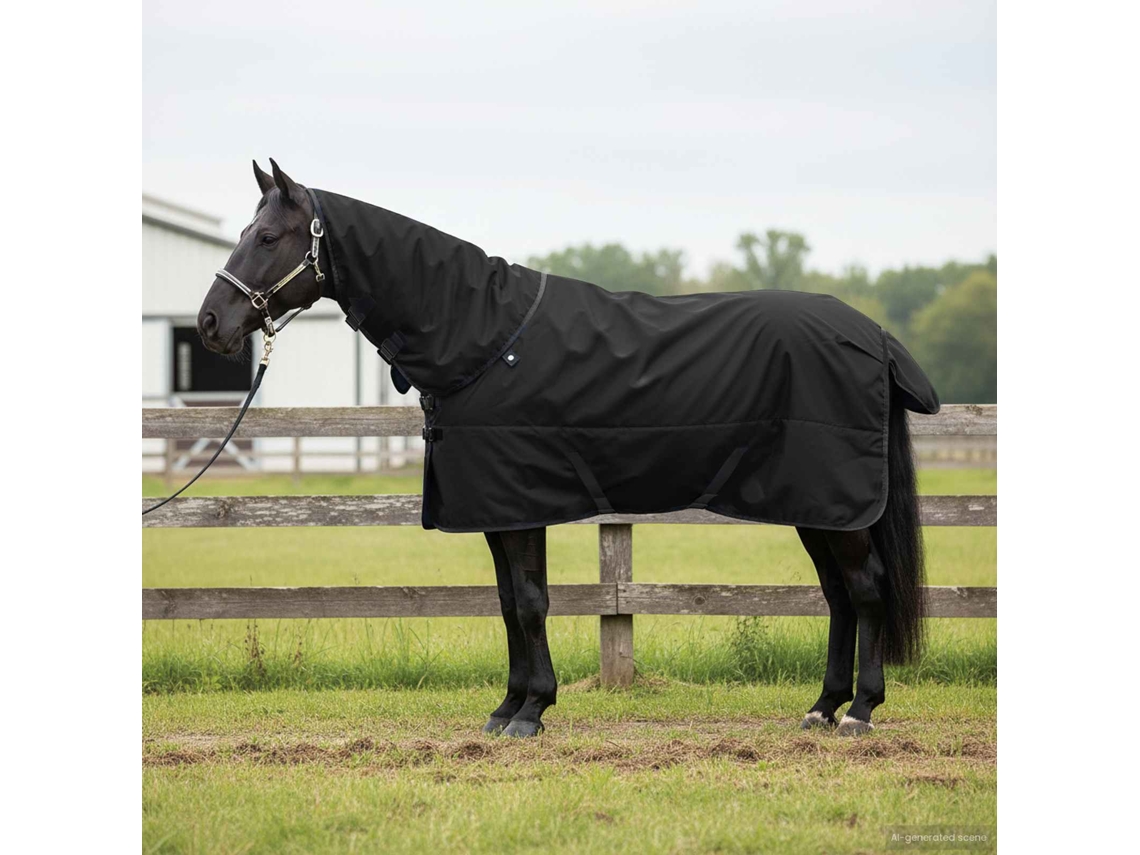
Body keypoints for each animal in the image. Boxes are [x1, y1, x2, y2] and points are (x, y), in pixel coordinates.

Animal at [196, 159, 938, 738]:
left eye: (267, 237)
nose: (209, 323)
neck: (483, 336)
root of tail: (873, 334)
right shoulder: (496, 509)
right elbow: (506, 602)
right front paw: (507, 707)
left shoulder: (520, 502)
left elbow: (529, 601)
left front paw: (532, 712)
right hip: (818, 506)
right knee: (839, 595)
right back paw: (821, 707)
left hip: (834, 502)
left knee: (865, 588)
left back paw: (860, 711)